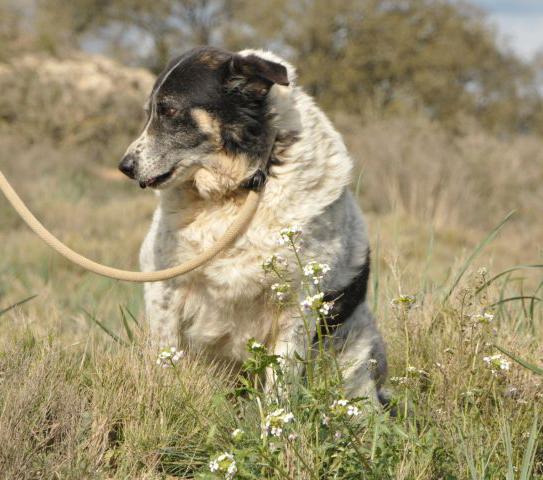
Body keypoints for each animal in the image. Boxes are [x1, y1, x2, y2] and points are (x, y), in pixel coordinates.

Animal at [121, 46, 388, 402]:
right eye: (150, 112)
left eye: (169, 110)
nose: (125, 166)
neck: (236, 190)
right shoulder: (163, 287)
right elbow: (165, 358)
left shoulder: (296, 306)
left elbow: (280, 384)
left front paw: (276, 421)